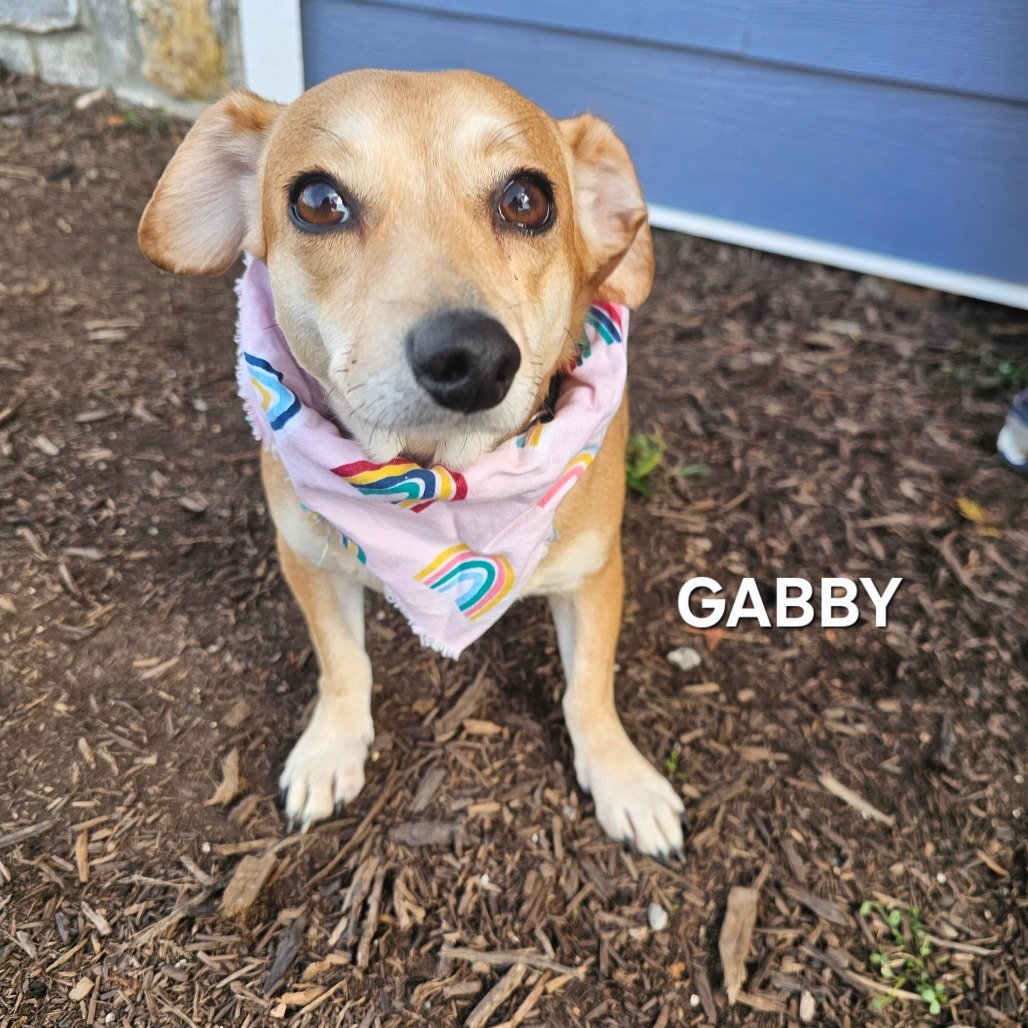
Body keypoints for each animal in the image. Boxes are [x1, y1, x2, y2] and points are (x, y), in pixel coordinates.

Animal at [136, 68, 682, 855]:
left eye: (528, 200)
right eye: (317, 201)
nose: (472, 358)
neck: (439, 485)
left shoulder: (595, 576)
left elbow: (588, 688)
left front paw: (622, 778)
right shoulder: (305, 559)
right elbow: (342, 662)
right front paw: (332, 747)